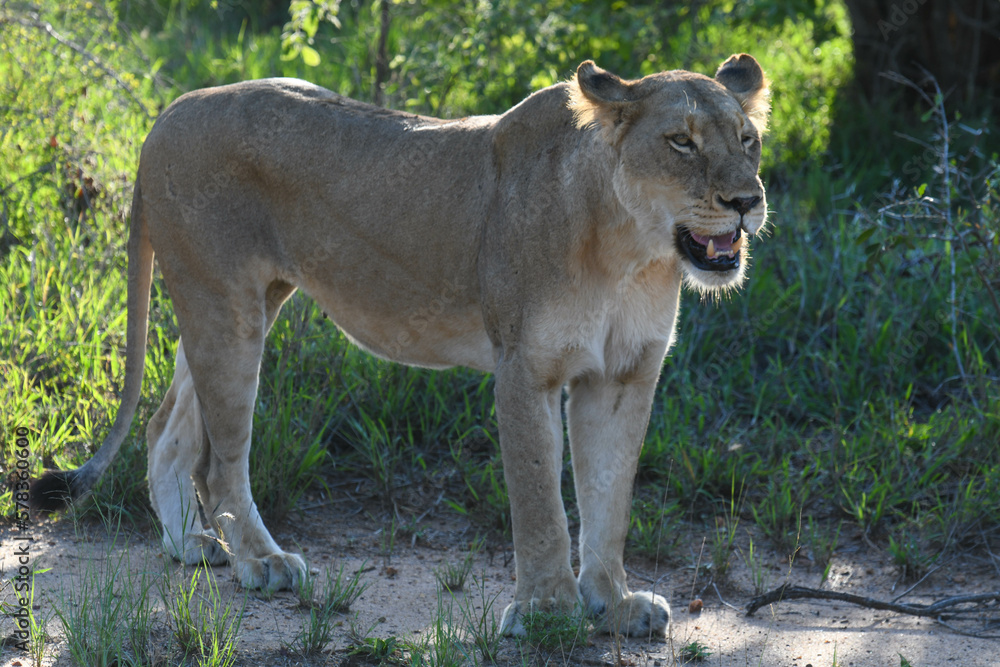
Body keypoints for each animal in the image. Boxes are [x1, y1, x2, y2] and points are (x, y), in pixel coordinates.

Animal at [32, 54, 769, 638]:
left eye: (747, 138)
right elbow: (542, 502)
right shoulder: (523, 368)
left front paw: (613, 603)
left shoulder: (624, 375)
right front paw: (547, 612)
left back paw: (190, 543)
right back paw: (263, 563)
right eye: (680, 142)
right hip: (224, 307)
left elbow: (609, 498)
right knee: (218, 460)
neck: (631, 253)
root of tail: (169, 112)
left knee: (165, 427)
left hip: (239, 305)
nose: (745, 200)